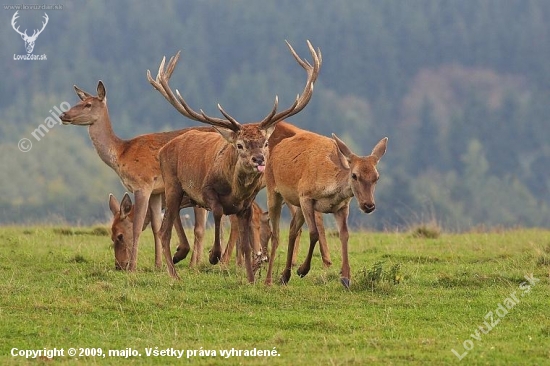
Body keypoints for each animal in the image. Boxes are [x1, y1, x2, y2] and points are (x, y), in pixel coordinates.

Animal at [57, 83, 209, 272]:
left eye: (88, 104)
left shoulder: (142, 184)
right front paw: (158, 265)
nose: (63, 115)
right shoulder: (156, 191)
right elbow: (156, 226)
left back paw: (199, 264)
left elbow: (137, 226)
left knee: (201, 227)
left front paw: (133, 267)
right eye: (79, 101)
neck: (121, 155)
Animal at [147, 40, 324, 280]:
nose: (258, 159)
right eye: (239, 145)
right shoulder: (206, 191)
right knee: (164, 231)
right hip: (173, 184)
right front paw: (214, 255)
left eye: (265, 142)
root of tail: (163, 150)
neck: (235, 190)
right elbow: (218, 212)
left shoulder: (246, 205)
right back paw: (175, 274)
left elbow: (247, 243)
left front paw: (250, 278)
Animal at [266, 121, 388, 288]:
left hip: (297, 206)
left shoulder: (342, 207)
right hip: (273, 190)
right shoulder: (305, 196)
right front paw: (302, 270)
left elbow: (344, 235)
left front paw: (346, 278)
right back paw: (269, 279)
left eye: (377, 177)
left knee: (292, 229)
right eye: (354, 175)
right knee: (276, 234)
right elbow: (314, 233)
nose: (368, 205)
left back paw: (285, 276)